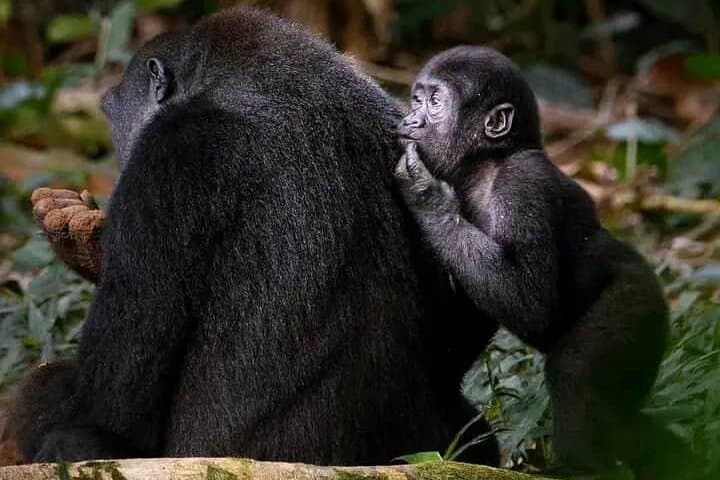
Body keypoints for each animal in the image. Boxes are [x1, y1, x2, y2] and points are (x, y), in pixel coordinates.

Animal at [393, 46, 687, 478]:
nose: (411, 118)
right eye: (417, 99)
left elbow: (529, 301)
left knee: (577, 371)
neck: (488, 162)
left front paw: (424, 193)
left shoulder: (523, 184)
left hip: (636, 305)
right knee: (625, 421)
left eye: (434, 102)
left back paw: (582, 466)